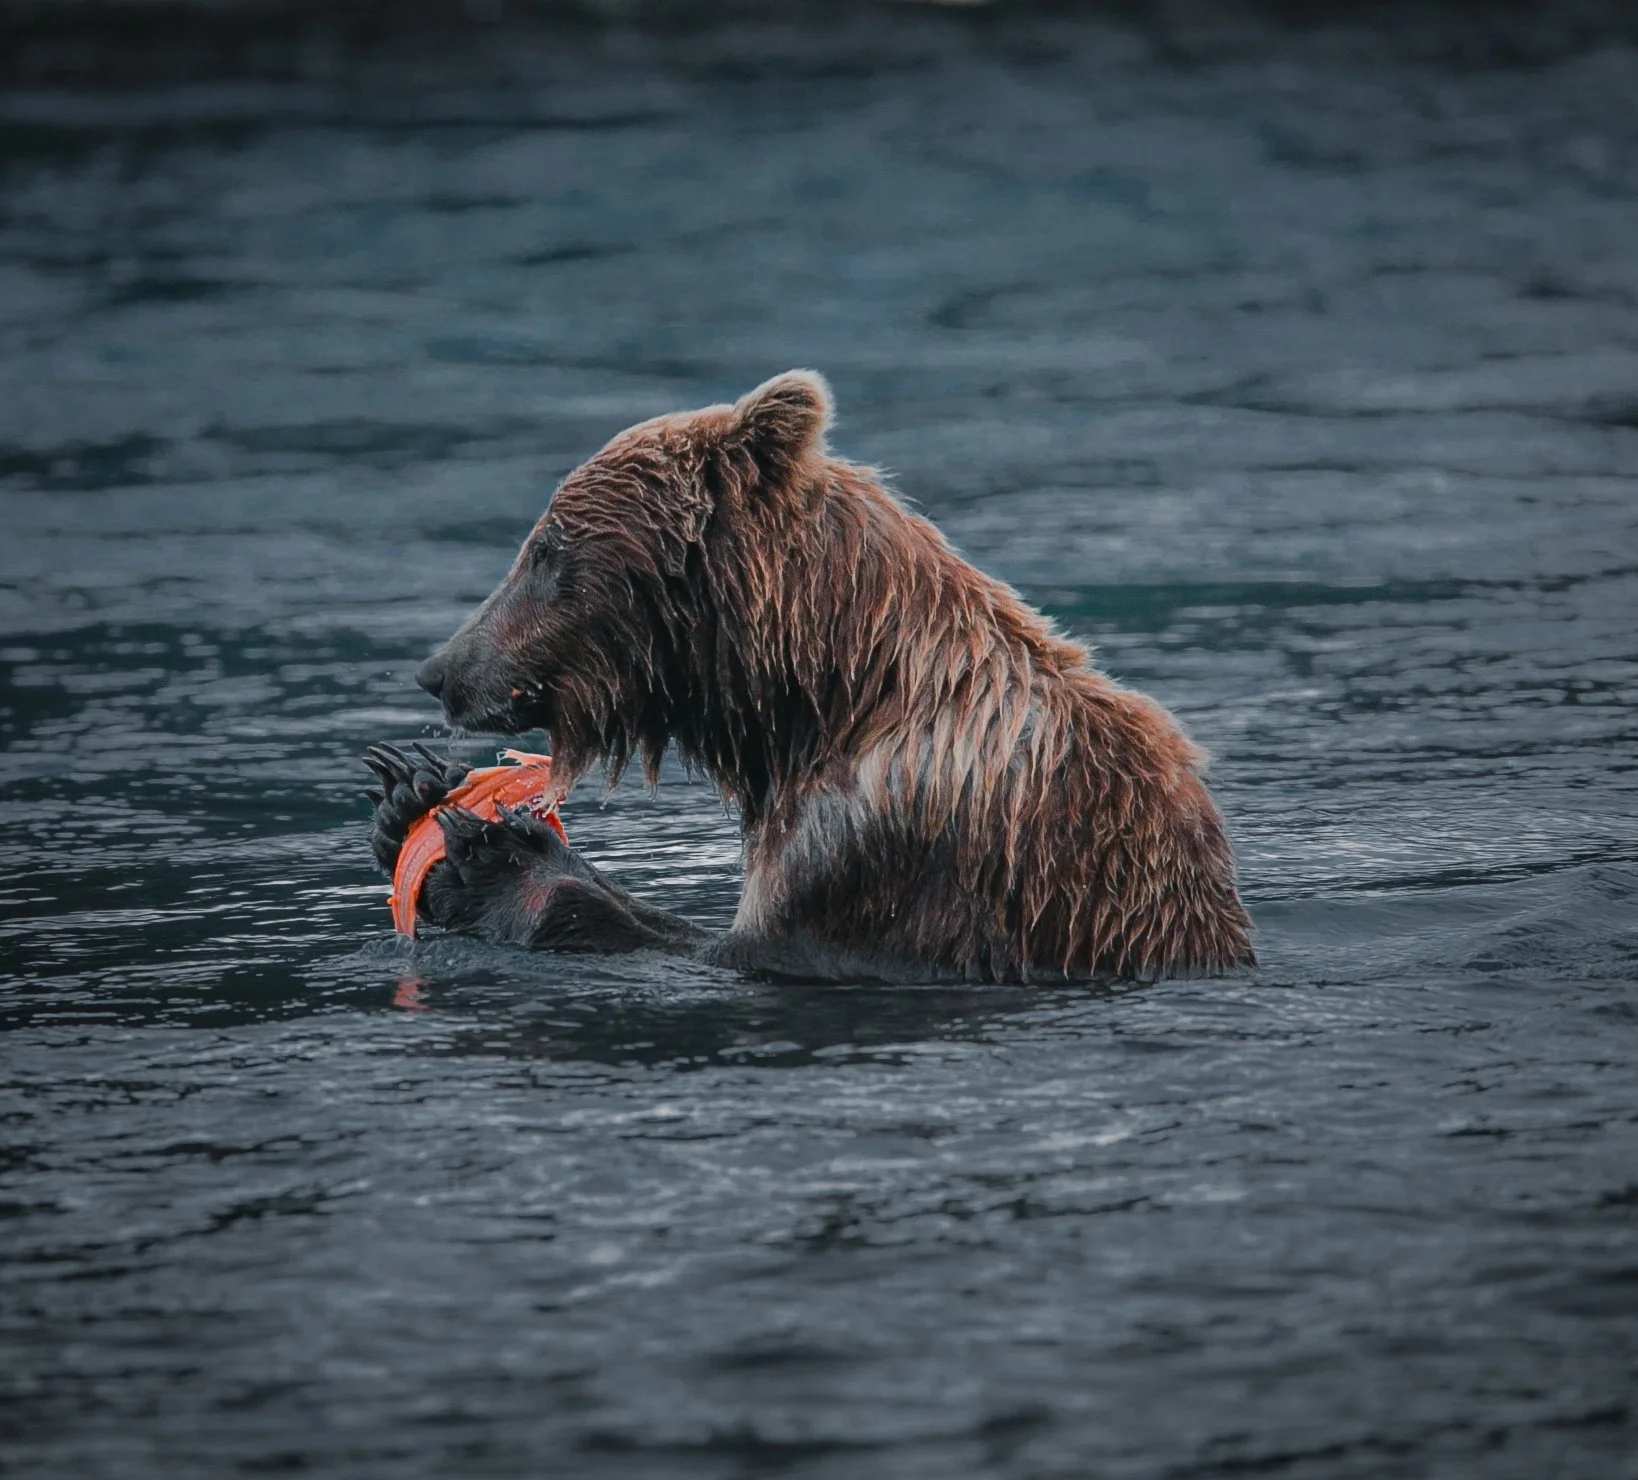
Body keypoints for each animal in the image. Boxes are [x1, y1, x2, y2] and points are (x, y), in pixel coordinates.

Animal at [365, 371, 1254, 982]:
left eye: (546, 550)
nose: (441, 671)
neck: (823, 700)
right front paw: (407, 790)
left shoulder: (881, 845)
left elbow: (726, 947)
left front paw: (499, 857)